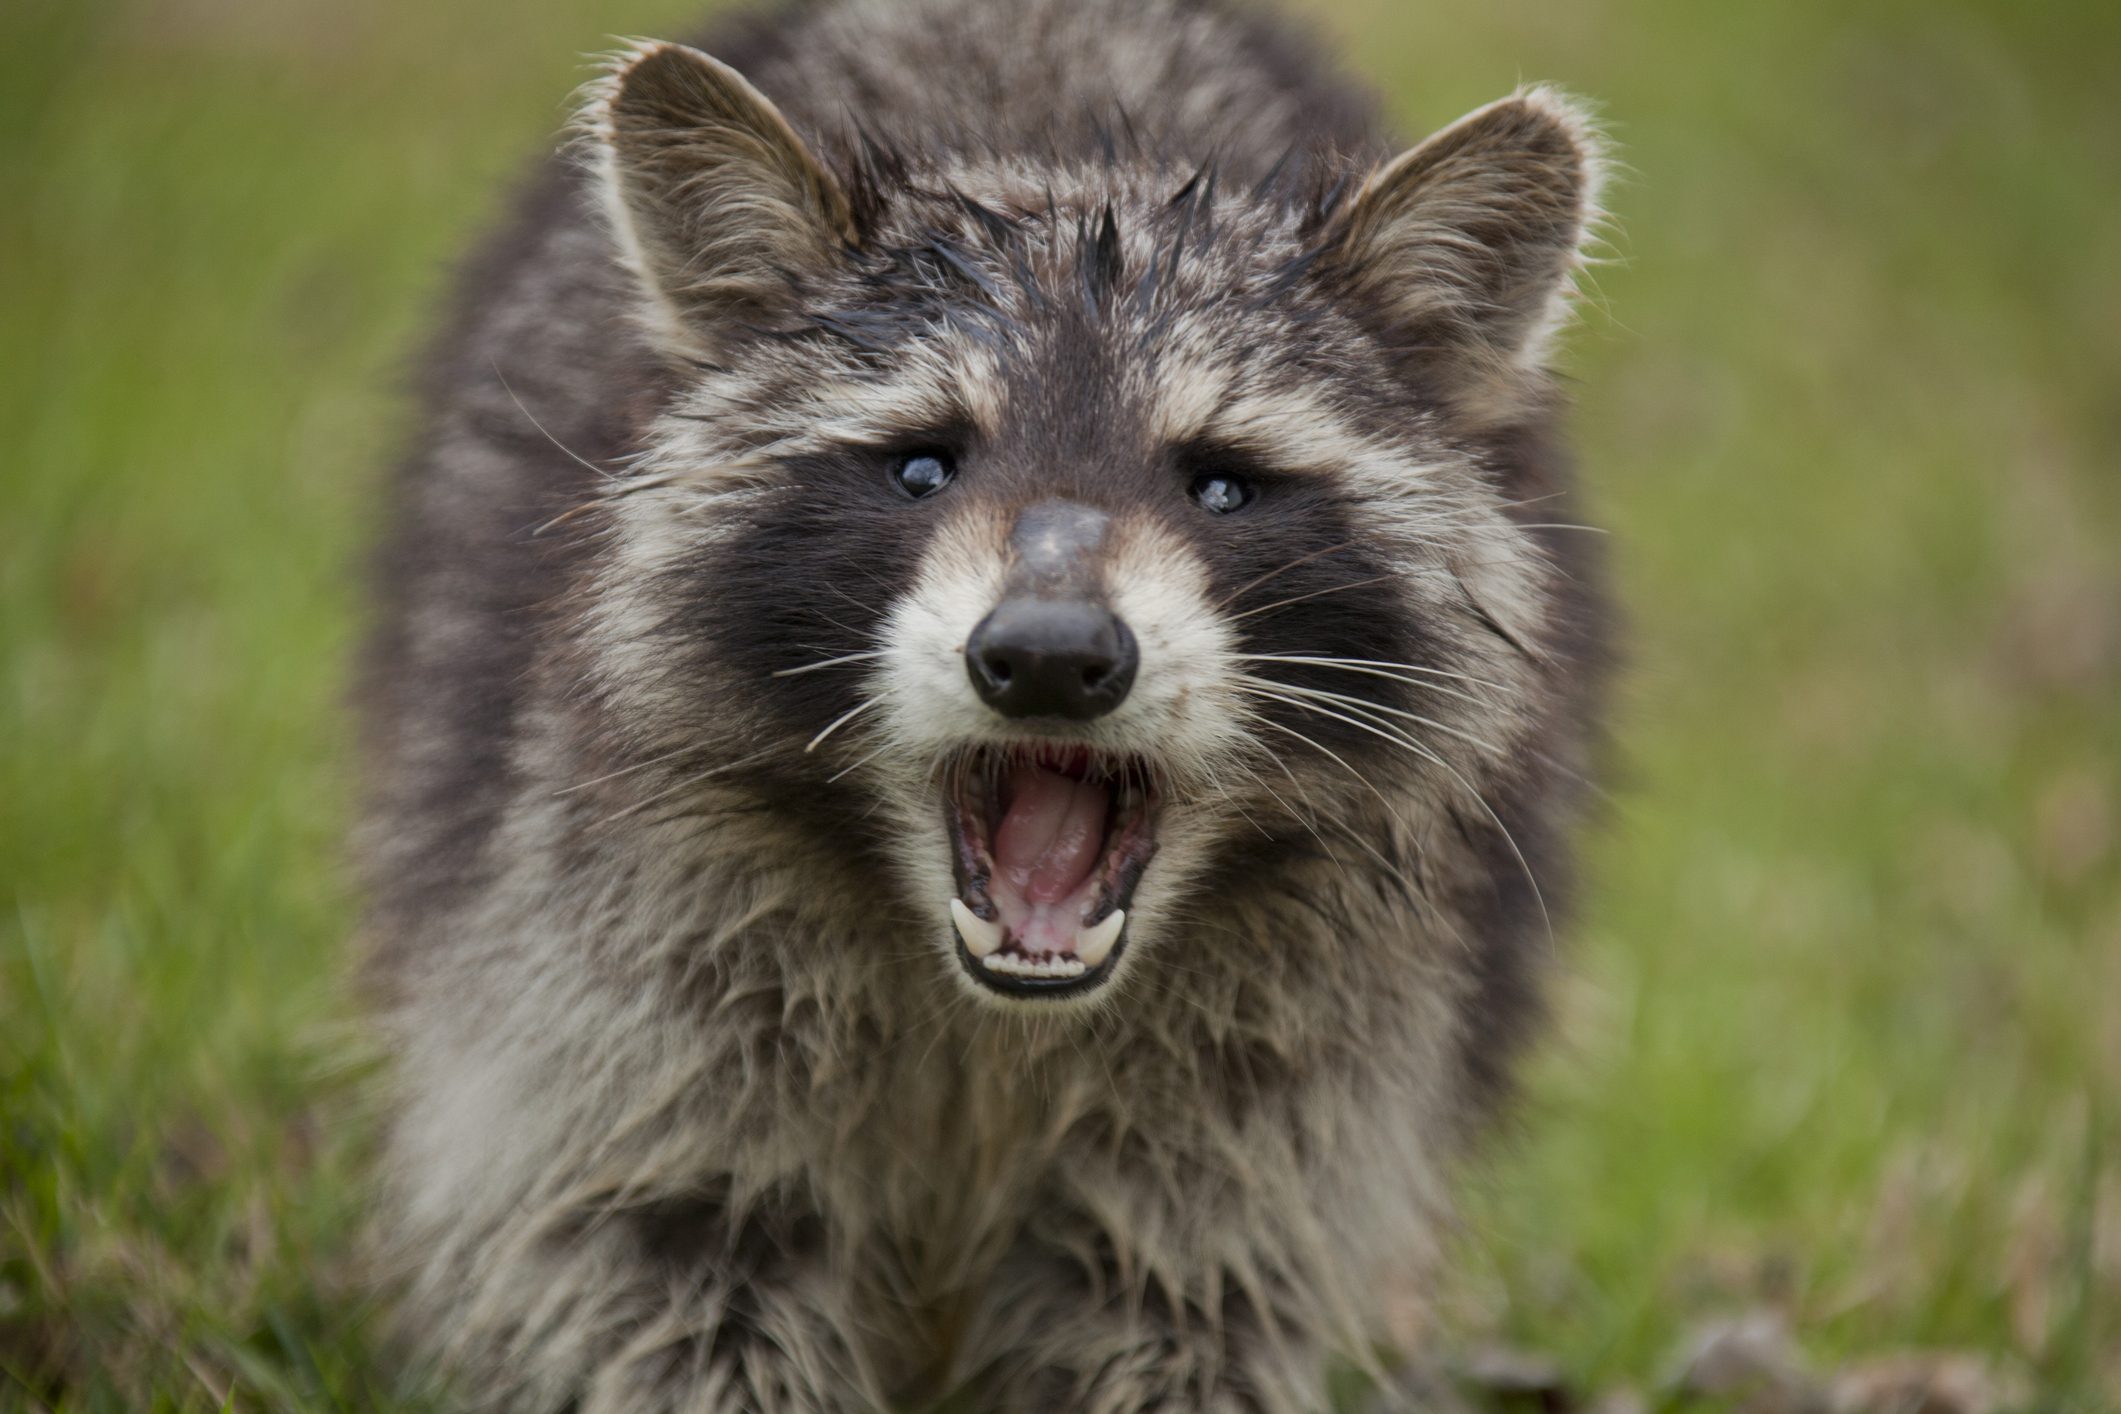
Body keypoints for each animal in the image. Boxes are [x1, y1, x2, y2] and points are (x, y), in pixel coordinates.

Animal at [360, 5, 1603, 1407]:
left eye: (1223, 485)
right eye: (922, 465)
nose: (1052, 655)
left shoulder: (1310, 1053)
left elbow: (1188, 1296)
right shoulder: (623, 965)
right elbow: (650, 1253)